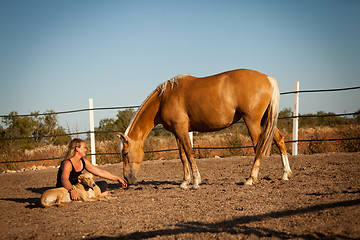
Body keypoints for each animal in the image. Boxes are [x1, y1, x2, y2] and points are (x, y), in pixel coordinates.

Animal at [118, 68, 292, 188]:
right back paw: (285, 174)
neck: (164, 98)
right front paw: (185, 182)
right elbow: (182, 156)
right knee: (279, 140)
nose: (127, 179)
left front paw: (195, 181)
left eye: (125, 153)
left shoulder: (182, 129)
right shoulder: (177, 132)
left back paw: (251, 178)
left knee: (258, 146)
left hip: (252, 122)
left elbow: (189, 153)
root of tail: (267, 78)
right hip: (266, 120)